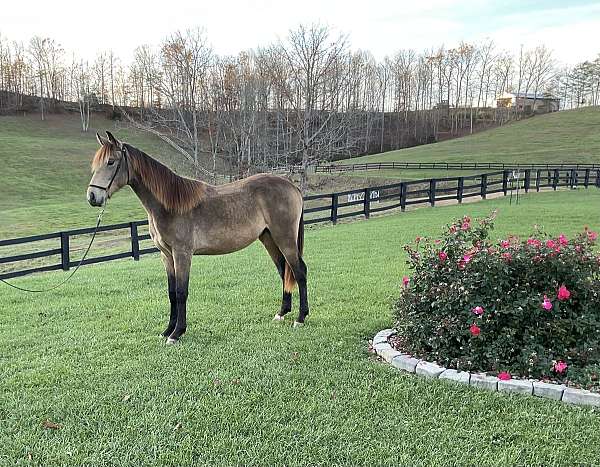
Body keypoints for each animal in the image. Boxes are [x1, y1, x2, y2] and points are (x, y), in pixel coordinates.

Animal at [88, 132, 310, 344]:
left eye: (111, 162)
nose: (92, 197)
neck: (170, 205)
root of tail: (291, 186)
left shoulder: (182, 254)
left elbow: (181, 292)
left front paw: (177, 333)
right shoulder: (166, 255)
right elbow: (171, 293)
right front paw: (167, 330)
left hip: (285, 238)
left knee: (299, 271)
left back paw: (300, 318)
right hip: (269, 238)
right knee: (284, 271)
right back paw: (282, 313)